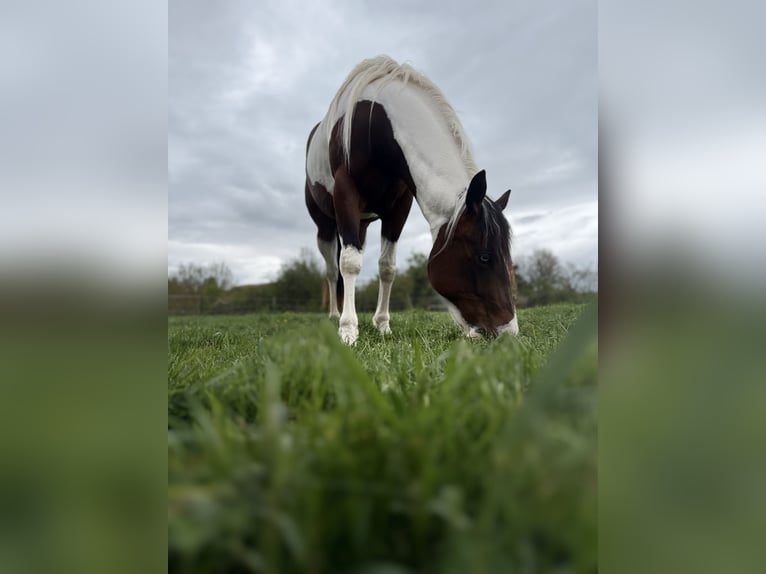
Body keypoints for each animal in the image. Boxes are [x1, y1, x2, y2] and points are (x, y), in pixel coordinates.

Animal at [305, 55, 518, 344]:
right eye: (484, 257)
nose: (509, 332)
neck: (376, 123)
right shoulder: (345, 191)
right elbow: (348, 263)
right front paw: (348, 330)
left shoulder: (399, 207)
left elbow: (387, 267)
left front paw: (382, 324)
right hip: (325, 225)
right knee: (331, 270)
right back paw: (335, 316)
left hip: (361, 223)